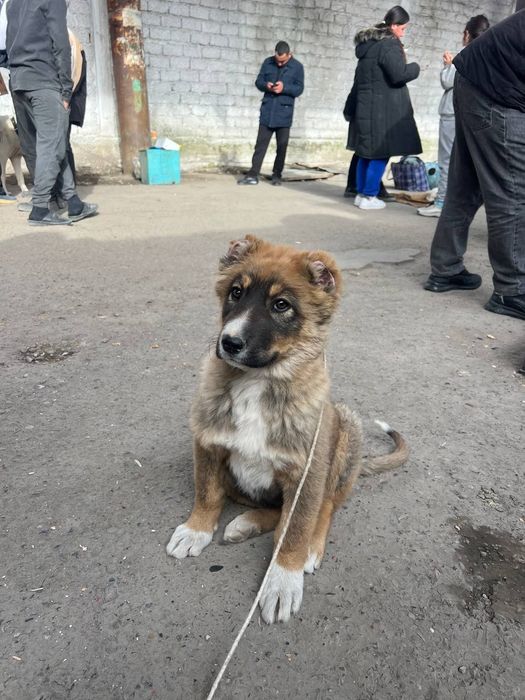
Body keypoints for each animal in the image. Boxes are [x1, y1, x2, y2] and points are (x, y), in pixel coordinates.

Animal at [166, 236, 409, 624]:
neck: (258, 381)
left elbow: (297, 528)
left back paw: (309, 546)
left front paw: (283, 580)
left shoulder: (306, 471)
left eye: (281, 305)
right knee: (271, 508)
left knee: (323, 507)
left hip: (345, 432)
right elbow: (207, 492)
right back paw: (246, 523)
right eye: (235, 292)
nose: (229, 343)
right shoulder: (208, 443)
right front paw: (196, 530)